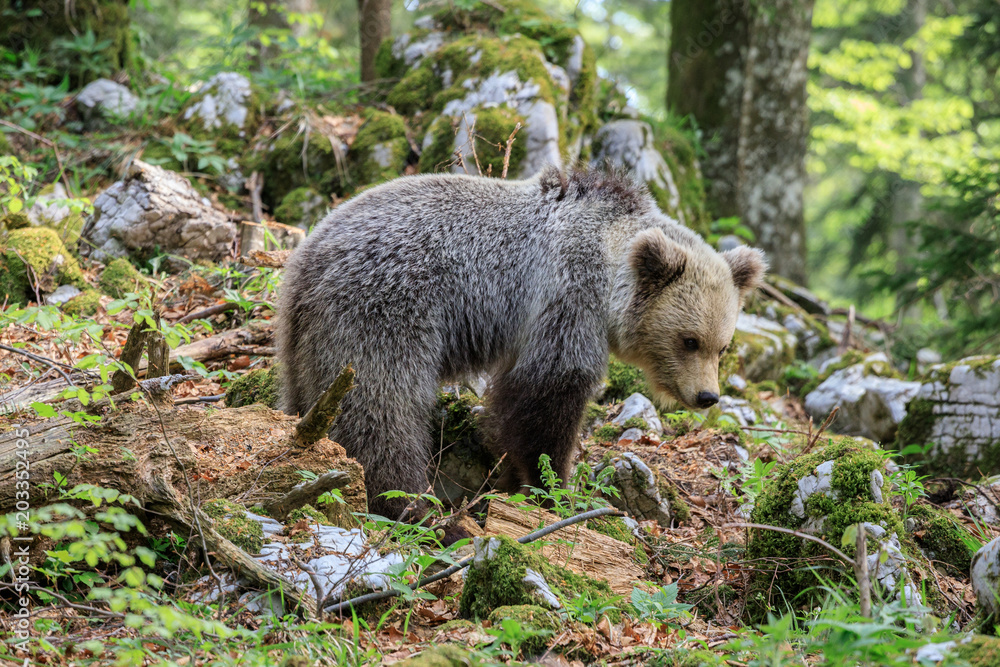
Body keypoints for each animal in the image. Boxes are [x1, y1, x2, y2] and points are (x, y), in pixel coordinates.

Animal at [277, 167, 765, 518]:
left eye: (722, 346)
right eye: (689, 340)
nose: (707, 396)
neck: (610, 264)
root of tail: (307, 257)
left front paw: (512, 476)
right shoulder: (566, 297)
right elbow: (550, 395)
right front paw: (552, 484)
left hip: (307, 340)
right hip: (384, 312)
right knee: (382, 412)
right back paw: (418, 508)